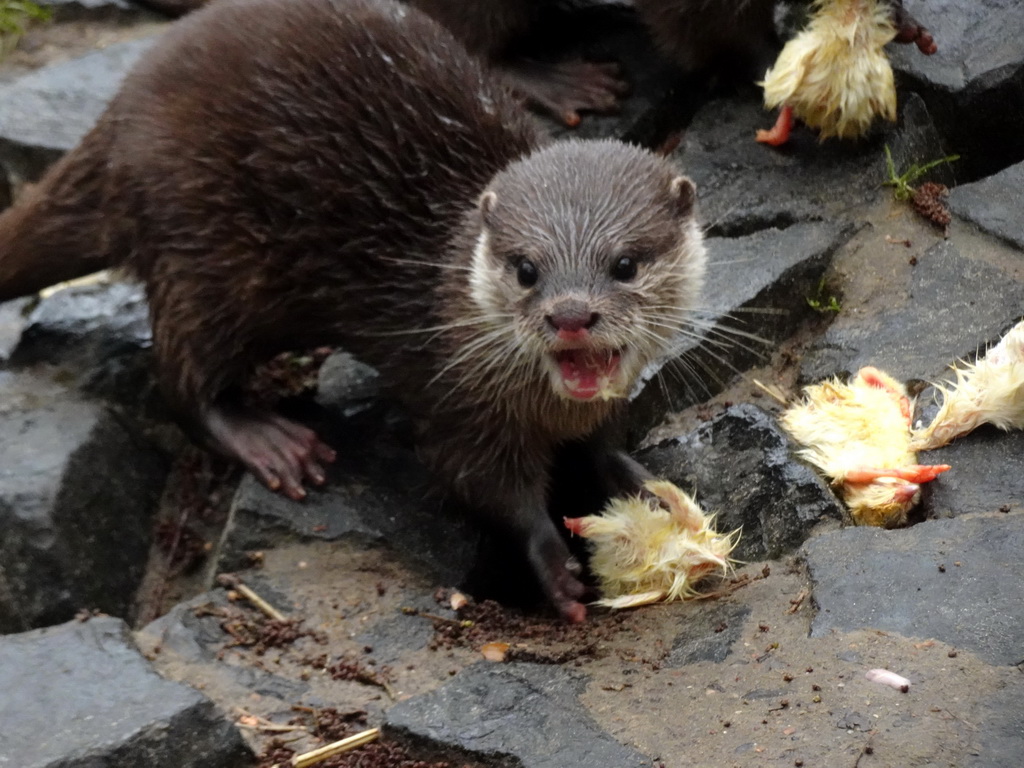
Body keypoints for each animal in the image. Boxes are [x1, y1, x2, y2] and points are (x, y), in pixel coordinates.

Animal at [0, 0, 704, 618]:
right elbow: (484, 486)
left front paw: (649, 488)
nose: (570, 315)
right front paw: (553, 565)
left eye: (625, 264)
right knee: (183, 376)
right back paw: (272, 441)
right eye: (526, 269)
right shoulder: (451, 400)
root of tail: (118, 117)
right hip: (199, 251)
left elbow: (602, 444)